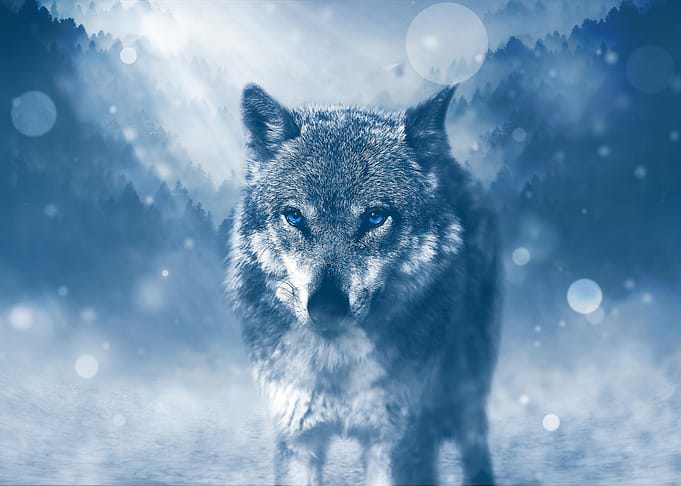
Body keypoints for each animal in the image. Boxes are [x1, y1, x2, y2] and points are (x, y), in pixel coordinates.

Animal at [226, 83, 502, 486]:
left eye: (375, 217)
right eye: (294, 216)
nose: (326, 307)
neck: (336, 364)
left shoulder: (395, 440)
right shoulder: (297, 437)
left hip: (467, 384)